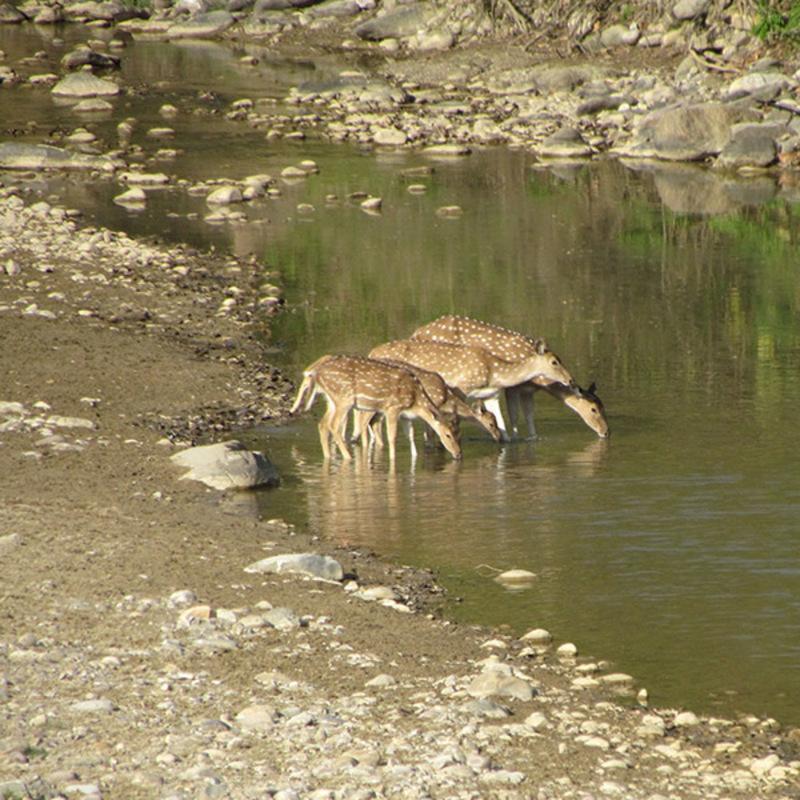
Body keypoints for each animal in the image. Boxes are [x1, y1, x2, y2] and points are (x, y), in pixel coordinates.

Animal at [290, 356, 460, 462]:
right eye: (448, 435)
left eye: (457, 433)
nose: (458, 453)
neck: (416, 400)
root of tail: (316, 374)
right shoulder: (392, 408)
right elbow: (392, 437)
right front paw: (392, 460)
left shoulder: (405, 415)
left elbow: (410, 435)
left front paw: (415, 456)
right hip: (344, 399)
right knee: (334, 426)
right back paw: (348, 457)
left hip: (332, 400)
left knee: (323, 424)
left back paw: (328, 457)